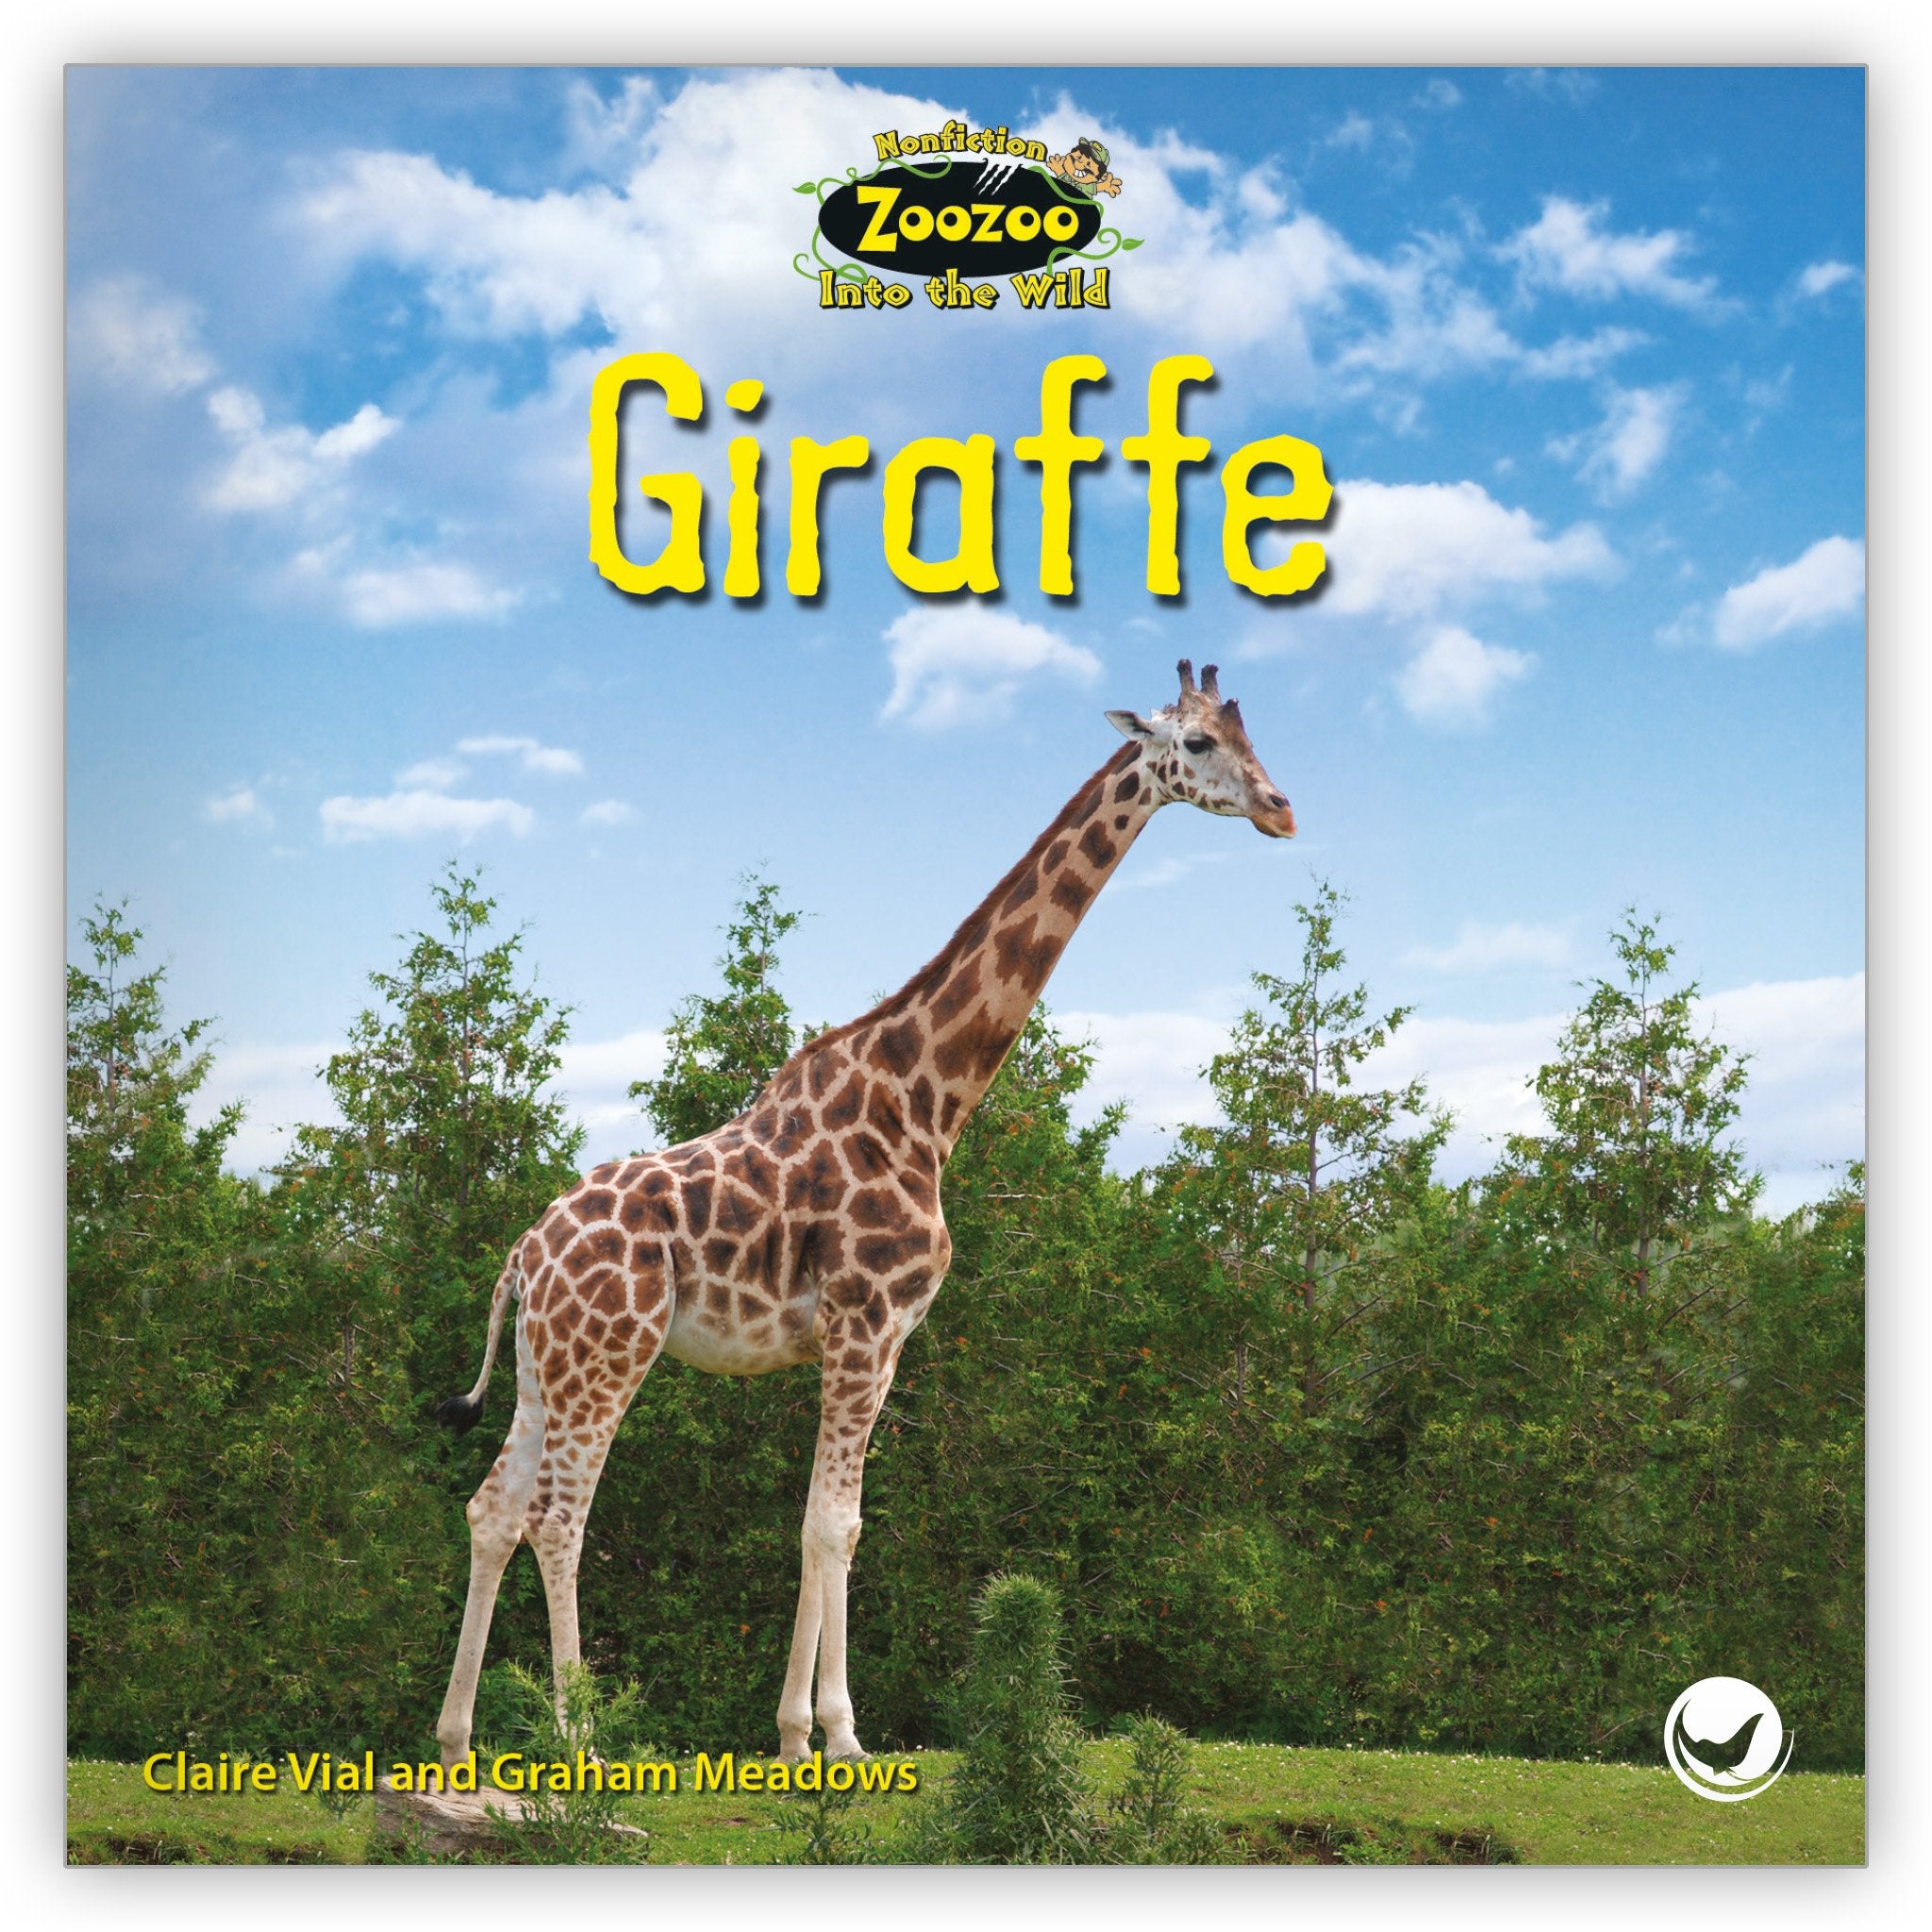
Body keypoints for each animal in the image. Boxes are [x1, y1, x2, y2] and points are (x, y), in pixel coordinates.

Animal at [431, 661, 1296, 1768]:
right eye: (1193, 744)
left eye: (1250, 733)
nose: (1279, 808)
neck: (927, 1102)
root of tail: (523, 1255)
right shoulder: (868, 1322)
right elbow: (829, 1524)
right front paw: (830, 1735)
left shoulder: (881, 1339)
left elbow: (834, 1520)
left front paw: (806, 1732)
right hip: (609, 1354)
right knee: (558, 1517)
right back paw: (580, 1738)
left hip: (547, 1362)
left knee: (492, 1507)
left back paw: (456, 1741)